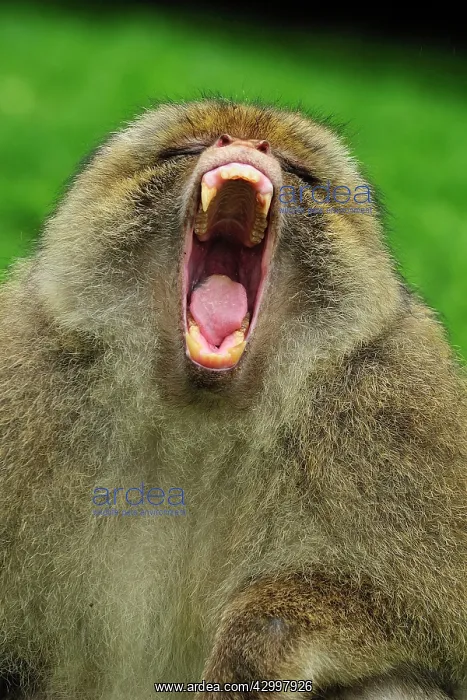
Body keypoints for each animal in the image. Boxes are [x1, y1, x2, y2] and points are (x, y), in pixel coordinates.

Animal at [0, 98, 466, 700]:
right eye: (185, 149)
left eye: (299, 169)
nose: (245, 143)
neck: (201, 414)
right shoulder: (22, 374)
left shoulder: (407, 407)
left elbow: (438, 634)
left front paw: (261, 639)